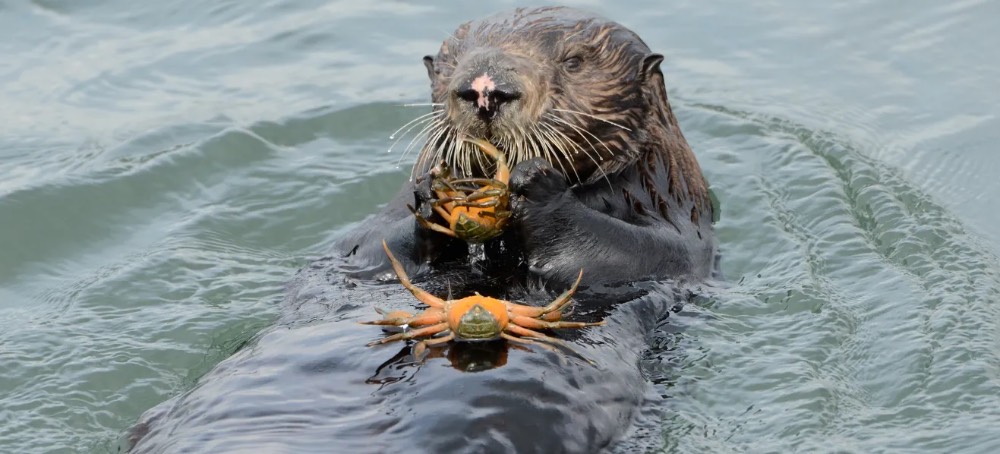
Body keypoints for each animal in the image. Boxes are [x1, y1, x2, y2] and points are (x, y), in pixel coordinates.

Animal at [339, 6, 718, 288]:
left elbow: (648, 252)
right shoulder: (367, 241)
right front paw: (435, 189)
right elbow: (370, 243)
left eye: (574, 61)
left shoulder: (674, 214)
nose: (485, 88)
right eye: (453, 61)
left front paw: (535, 182)